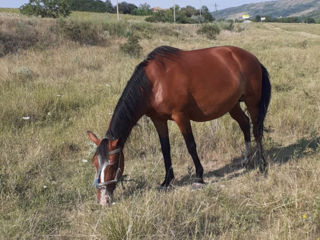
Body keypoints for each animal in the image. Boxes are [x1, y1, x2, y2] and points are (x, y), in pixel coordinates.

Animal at [87, 45, 270, 206]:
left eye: (112, 164)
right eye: (95, 163)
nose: (102, 200)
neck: (154, 83)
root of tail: (252, 58)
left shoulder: (181, 117)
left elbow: (191, 146)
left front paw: (199, 177)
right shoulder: (159, 120)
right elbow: (165, 149)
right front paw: (167, 180)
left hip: (252, 102)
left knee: (257, 130)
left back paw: (262, 166)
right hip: (233, 105)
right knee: (244, 124)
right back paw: (245, 160)